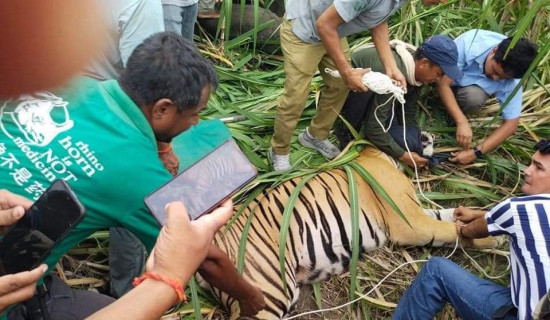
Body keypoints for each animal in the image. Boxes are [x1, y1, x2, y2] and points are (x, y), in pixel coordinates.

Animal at [197, 146, 500, 318]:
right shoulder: (410, 222)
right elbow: (450, 229)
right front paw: (493, 236)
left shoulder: (417, 213)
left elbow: (450, 217)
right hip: (266, 294)